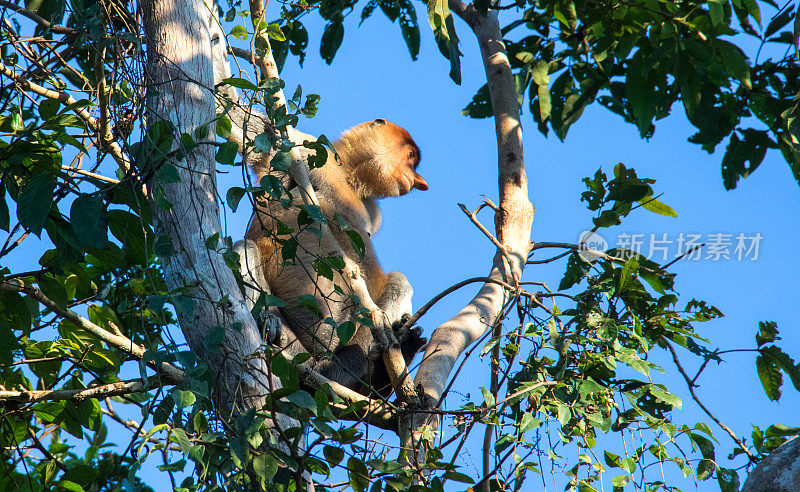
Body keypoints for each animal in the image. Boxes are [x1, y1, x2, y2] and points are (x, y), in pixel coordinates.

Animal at [244, 119, 428, 396]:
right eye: (410, 157)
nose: (417, 179)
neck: (348, 176)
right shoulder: (301, 148)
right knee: (245, 248)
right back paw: (272, 328)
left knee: (398, 281)